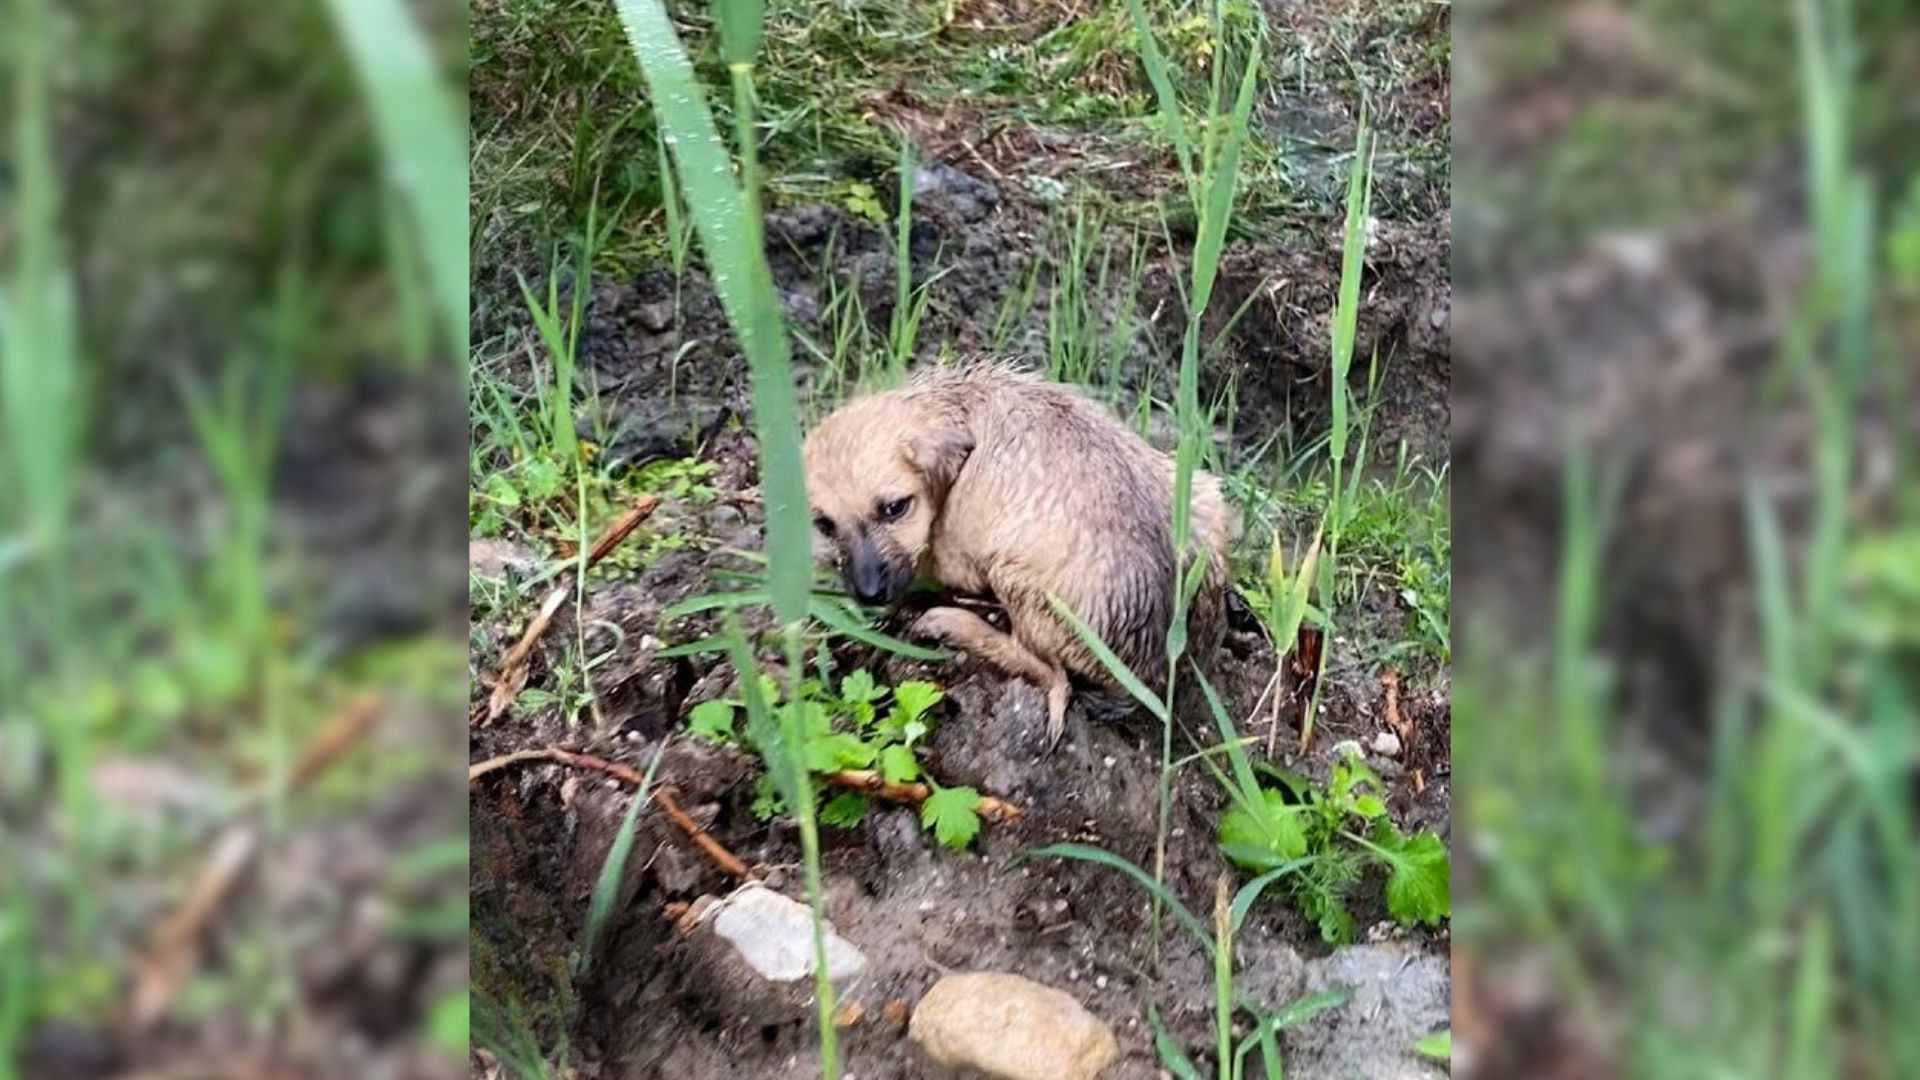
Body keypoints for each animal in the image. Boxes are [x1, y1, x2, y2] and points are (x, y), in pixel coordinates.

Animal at [794, 357, 1228, 745]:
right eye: (824, 524)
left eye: (896, 507)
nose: (869, 594)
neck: (951, 406)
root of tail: (1157, 667)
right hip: (1206, 496)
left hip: (1016, 575)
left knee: (1054, 676)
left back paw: (952, 623)